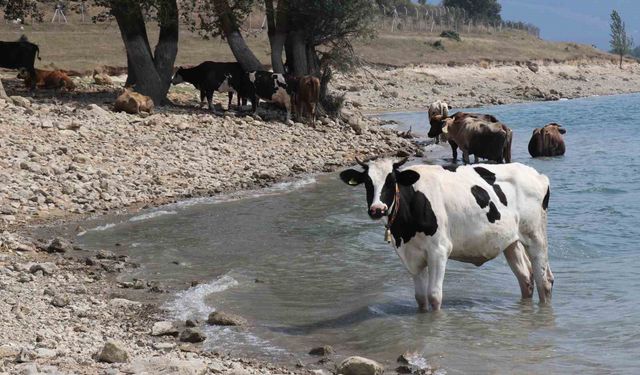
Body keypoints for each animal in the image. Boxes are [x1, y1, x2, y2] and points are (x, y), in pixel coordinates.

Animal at [340, 158, 556, 312]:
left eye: (391, 181)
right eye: (367, 183)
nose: (377, 209)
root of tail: (538, 175)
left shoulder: (439, 250)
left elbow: (434, 296)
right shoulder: (410, 255)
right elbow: (420, 298)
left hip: (535, 236)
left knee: (544, 280)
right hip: (510, 241)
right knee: (525, 278)